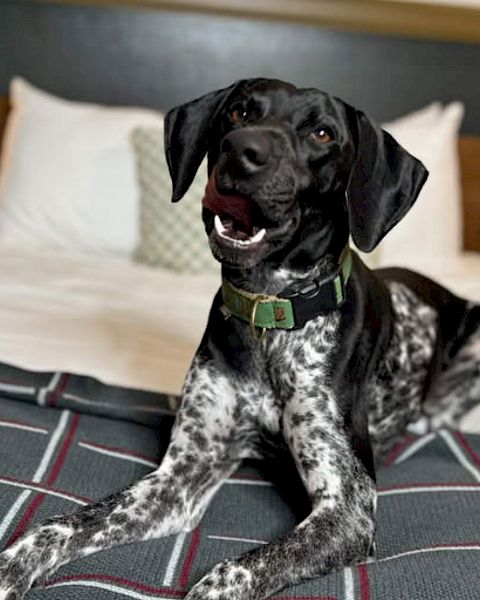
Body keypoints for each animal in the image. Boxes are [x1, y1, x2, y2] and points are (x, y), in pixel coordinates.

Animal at [0, 77, 480, 596]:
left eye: (323, 134)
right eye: (239, 112)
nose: (244, 150)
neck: (269, 315)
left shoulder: (347, 509)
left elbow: (235, 570)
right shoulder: (181, 475)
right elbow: (66, 524)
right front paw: (12, 566)